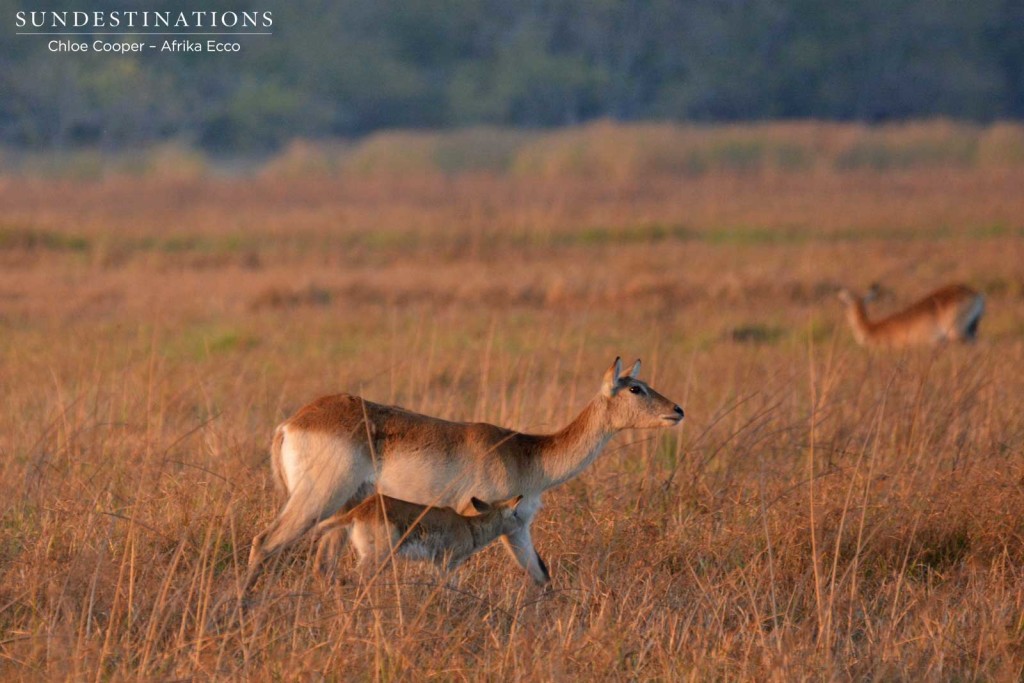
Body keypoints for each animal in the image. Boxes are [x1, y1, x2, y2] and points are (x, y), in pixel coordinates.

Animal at [313, 493, 524, 581]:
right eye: (515, 513)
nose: (522, 523)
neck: (469, 527)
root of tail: (358, 512)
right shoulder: (446, 562)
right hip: (380, 556)